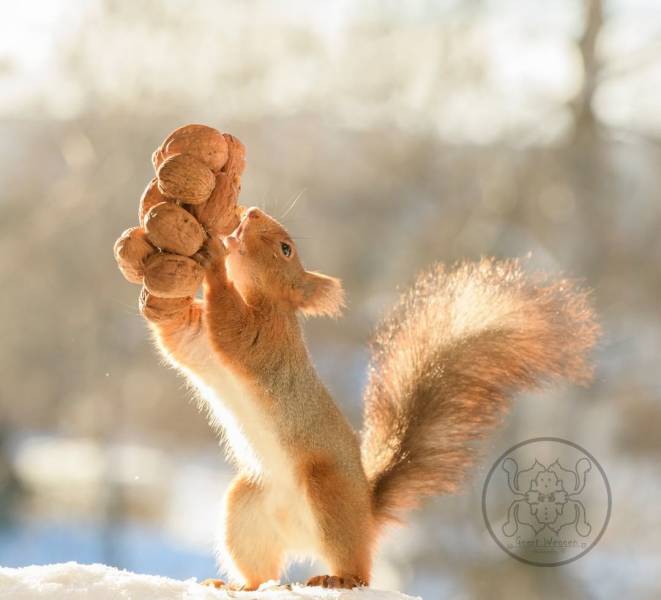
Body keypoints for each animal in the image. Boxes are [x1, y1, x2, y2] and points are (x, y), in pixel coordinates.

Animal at [143, 206, 600, 592]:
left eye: (286, 248)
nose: (250, 211)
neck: (268, 300)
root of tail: (366, 513)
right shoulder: (201, 345)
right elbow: (179, 340)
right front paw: (154, 298)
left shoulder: (263, 339)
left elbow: (231, 325)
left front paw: (213, 259)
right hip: (248, 508)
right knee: (263, 569)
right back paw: (238, 585)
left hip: (328, 494)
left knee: (358, 567)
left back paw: (339, 579)